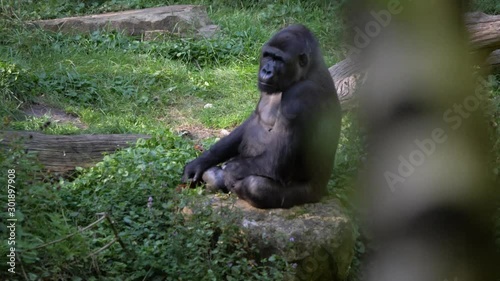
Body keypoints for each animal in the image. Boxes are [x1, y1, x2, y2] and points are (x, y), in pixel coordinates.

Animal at [182, 24, 342, 208]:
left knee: (256, 186)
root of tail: (323, 191)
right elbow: (252, 120)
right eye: (267, 55)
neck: (307, 71)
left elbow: (276, 162)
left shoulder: (300, 95)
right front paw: (201, 162)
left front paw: (229, 171)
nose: (266, 70)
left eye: (279, 59)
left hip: (310, 195)